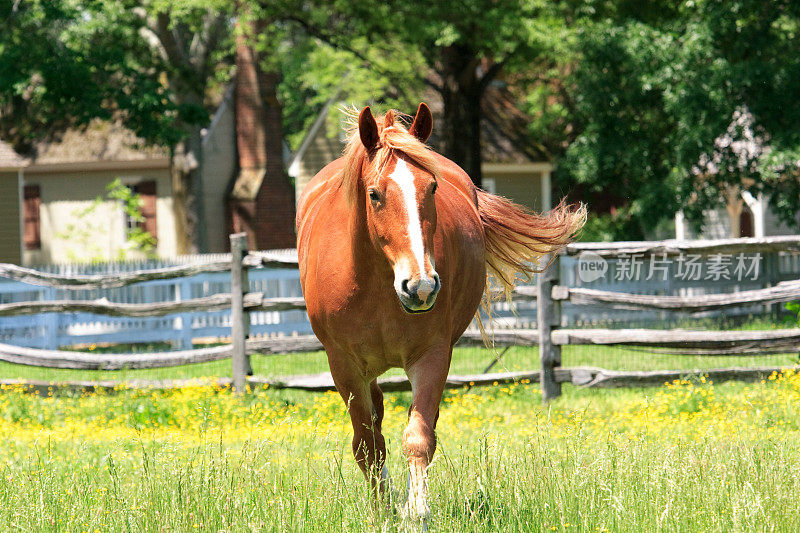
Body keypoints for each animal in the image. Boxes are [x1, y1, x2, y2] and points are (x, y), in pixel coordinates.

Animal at [296, 103, 584, 520]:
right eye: (374, 194)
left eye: (431, 188)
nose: (421, 287)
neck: (376, 284)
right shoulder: (345, 365)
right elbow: (367, 443)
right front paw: (382, 509)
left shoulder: (432, 355)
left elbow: (419, 437)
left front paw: (416, 509)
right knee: (375, 420)